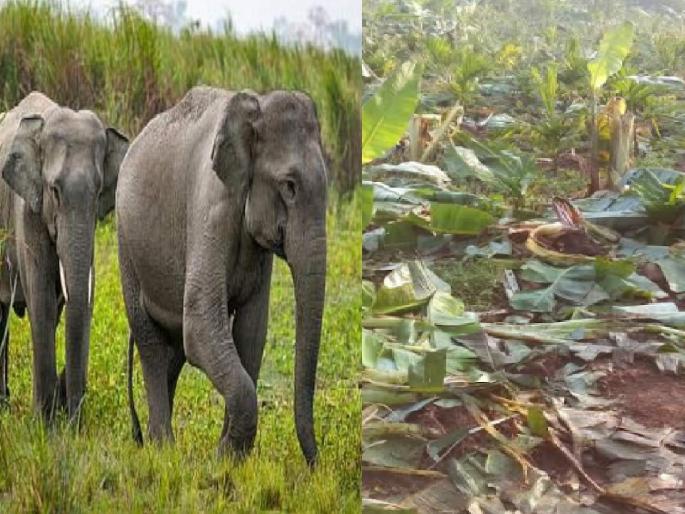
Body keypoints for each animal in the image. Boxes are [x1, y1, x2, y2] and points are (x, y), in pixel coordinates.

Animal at [0, 92, 129, 419]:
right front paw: (42, 423)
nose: (73, 417)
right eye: (54, 191)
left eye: (98, 192)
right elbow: (42, 301)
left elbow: (77, 301)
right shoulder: (27, 210)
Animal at [117, 86, 327, 466]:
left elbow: (251, 334)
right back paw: (163, 450)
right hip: (126, 243)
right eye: (288, 186)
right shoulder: (210, 205)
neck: (255, 108)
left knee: (174, 349)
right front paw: (223, 458)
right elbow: (202, 325)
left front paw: (228, 457)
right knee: (151, 342)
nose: (315, 466)